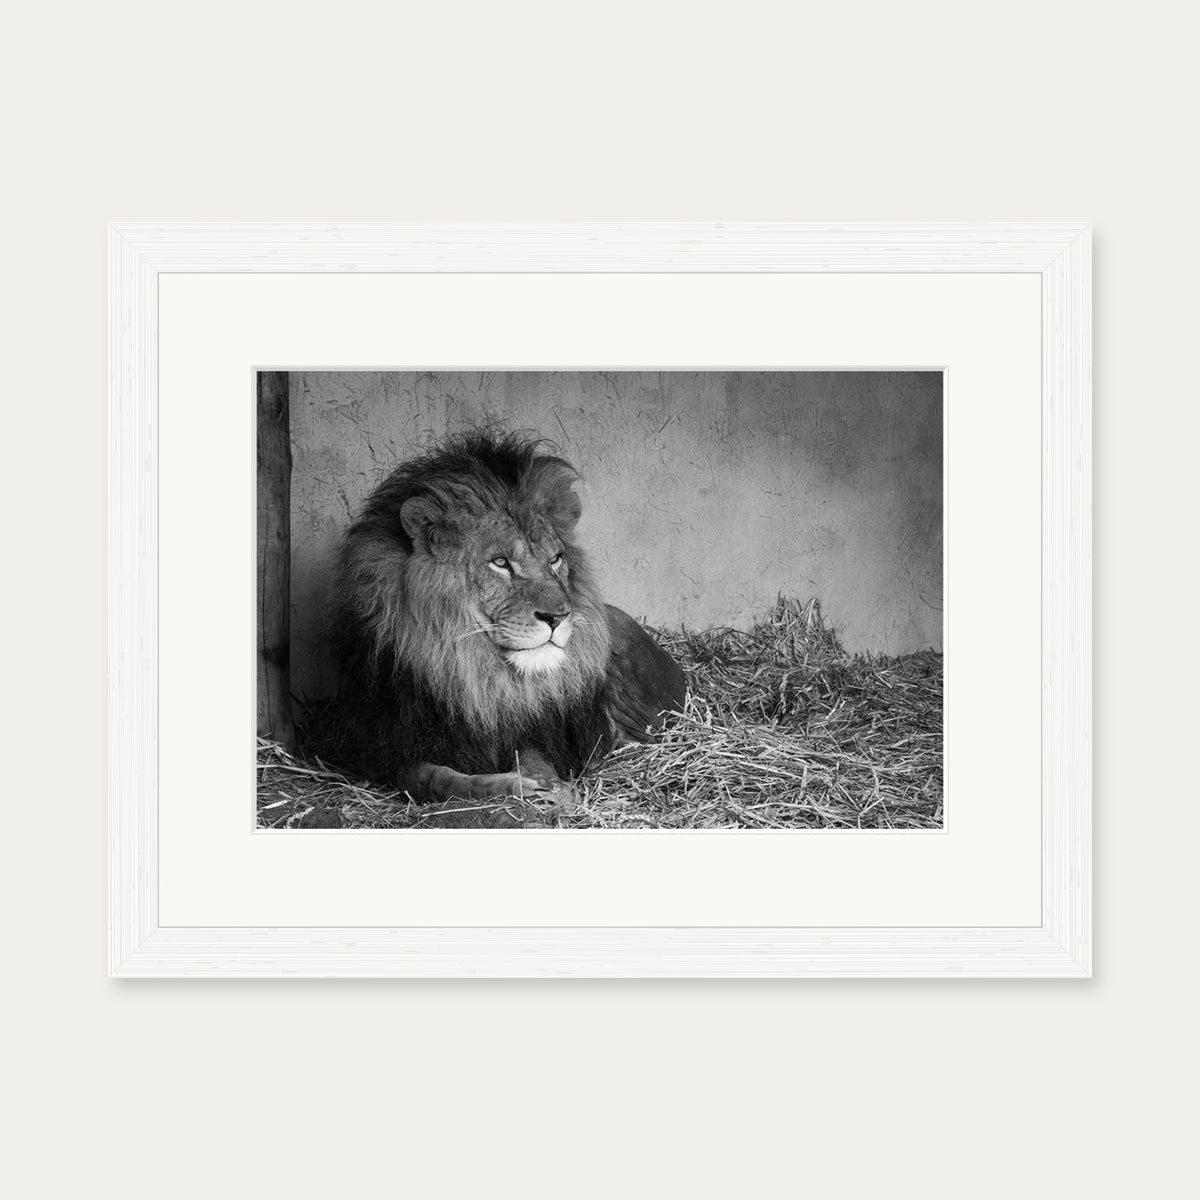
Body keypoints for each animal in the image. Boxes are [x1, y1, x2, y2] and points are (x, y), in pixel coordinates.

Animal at [333, 430, 686, 805]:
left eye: (555, 559)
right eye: (500, 562)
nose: (558, 616)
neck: (474, 674)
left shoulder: (537, 732)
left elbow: (534, 756)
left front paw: (551, 788)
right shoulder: (388, 749)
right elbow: (433, 778)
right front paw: (509, 785)